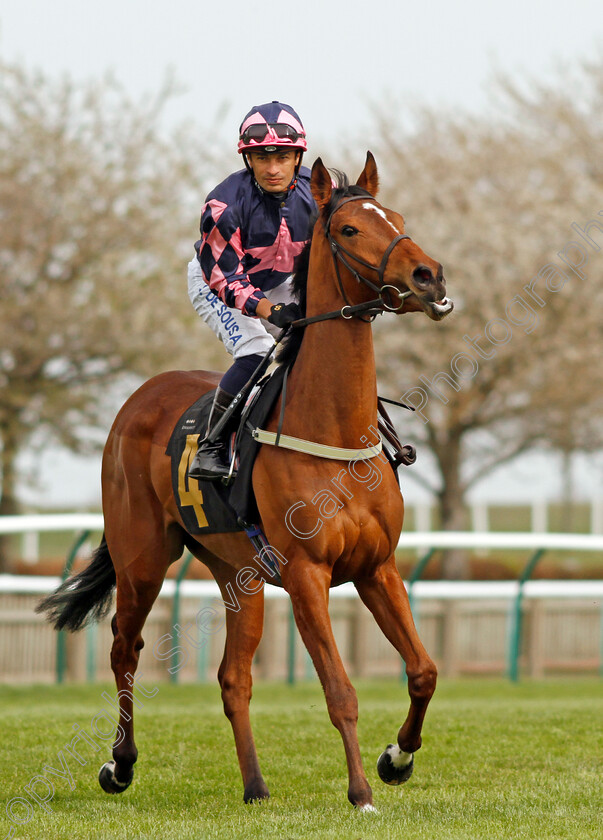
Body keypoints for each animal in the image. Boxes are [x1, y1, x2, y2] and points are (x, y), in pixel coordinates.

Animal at [37, 151, 452, 808]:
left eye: (399, 219)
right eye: (350, 229)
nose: (428, 276)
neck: (333, 431)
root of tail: (139, 398)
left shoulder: (378, 568)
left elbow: (424, 671)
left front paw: (397, 758)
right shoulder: (307, 575)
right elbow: (340, 691)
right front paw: (361, 791)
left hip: (239, 575)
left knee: (233, 677)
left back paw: (255, 785)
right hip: (142, 558)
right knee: (125, 647)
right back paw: (120, 764)